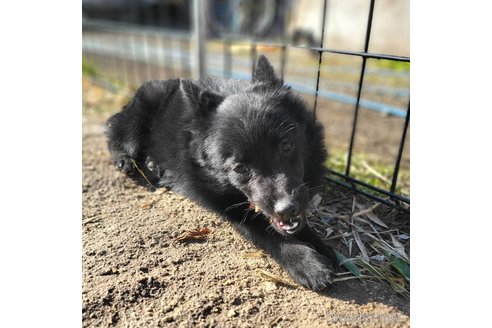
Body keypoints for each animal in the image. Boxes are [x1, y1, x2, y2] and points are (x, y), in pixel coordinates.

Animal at [105, 55, 336, 290]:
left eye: (286, 146)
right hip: (137, 119)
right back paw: (125, 160)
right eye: (240, 168)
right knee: (115, 136)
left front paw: (320, 244)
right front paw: (306, 262)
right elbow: (264, 230)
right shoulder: (226, 206)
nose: (286, 209)